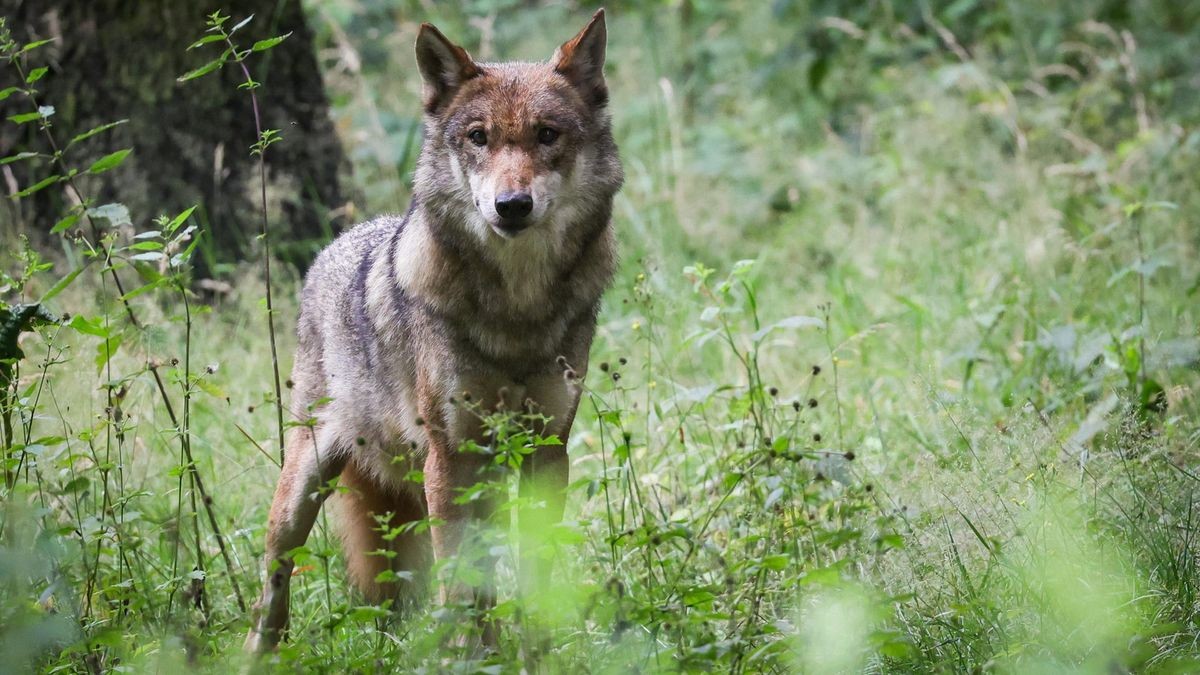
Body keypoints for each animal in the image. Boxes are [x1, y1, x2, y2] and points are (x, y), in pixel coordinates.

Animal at [242, 9, 619, 653]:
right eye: (478, 137)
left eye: (547, 135)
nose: (511, 205)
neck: (517, 310)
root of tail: (337, 245)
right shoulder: (449, 455)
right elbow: (458, 580)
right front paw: (467, 656)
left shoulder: (547, 451)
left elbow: (534, 572)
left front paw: (536, 652)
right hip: (304, 488)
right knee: (274, 577)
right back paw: (258, 653)